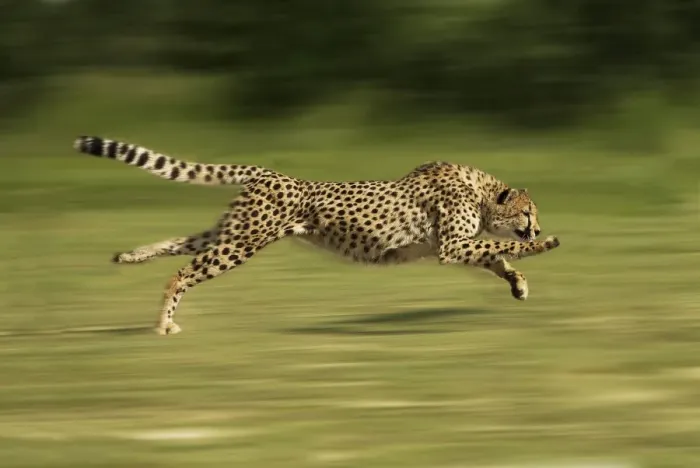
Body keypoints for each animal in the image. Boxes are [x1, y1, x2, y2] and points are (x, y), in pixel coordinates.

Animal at [73, 136, 561, 336]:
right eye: (528, 212)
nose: (538, 225)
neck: (482, 193)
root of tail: (269, 172)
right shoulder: (452, 246)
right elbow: (505, 245)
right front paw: (544, 245)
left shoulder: (458, 247)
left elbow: (497, 257)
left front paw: (518, 284)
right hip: (240, 244)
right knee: (181, 272)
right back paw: (162, 323)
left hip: (231, 233)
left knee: (178, 245)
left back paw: (131, 256)